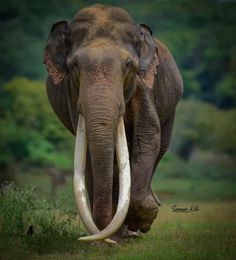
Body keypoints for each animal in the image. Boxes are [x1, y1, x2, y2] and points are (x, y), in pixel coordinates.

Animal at [43, 4, 183, 243]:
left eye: (129, 64)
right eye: (73, 65)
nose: (104, 238)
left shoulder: (143, 85)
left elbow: (147, 136)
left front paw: (144, 218)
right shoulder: (72, 93)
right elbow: (91, 152)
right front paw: (109, 239)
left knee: (159, 146)